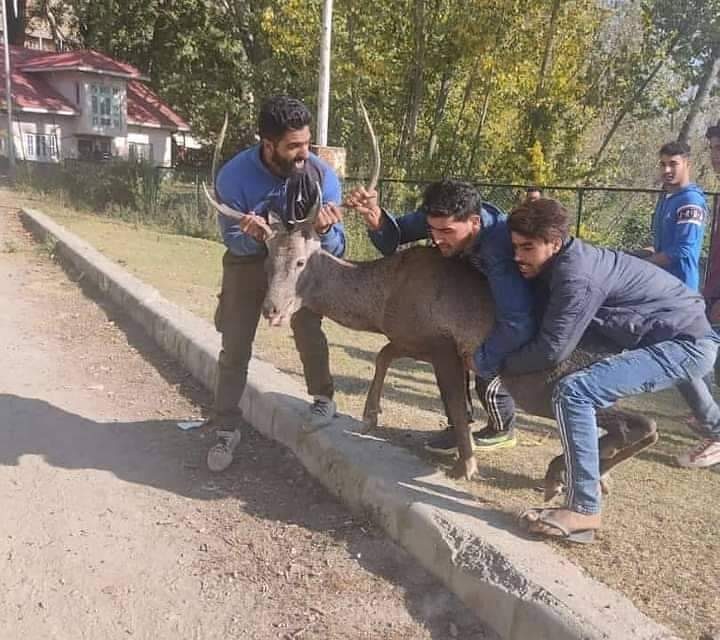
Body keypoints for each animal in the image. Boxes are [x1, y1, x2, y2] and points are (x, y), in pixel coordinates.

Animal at [202, 105, 660, 498]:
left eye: (300, 261)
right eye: (266, 263)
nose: (272, 310)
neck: (383, 301)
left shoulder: (444, 344)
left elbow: (455, 404)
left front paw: (465, 465)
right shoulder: (414, 337)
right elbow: (386, 355)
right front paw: (371, 416)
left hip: (539, 379)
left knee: (639, 422)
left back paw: (560, 477)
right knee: (627, 424)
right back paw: (583, 478)